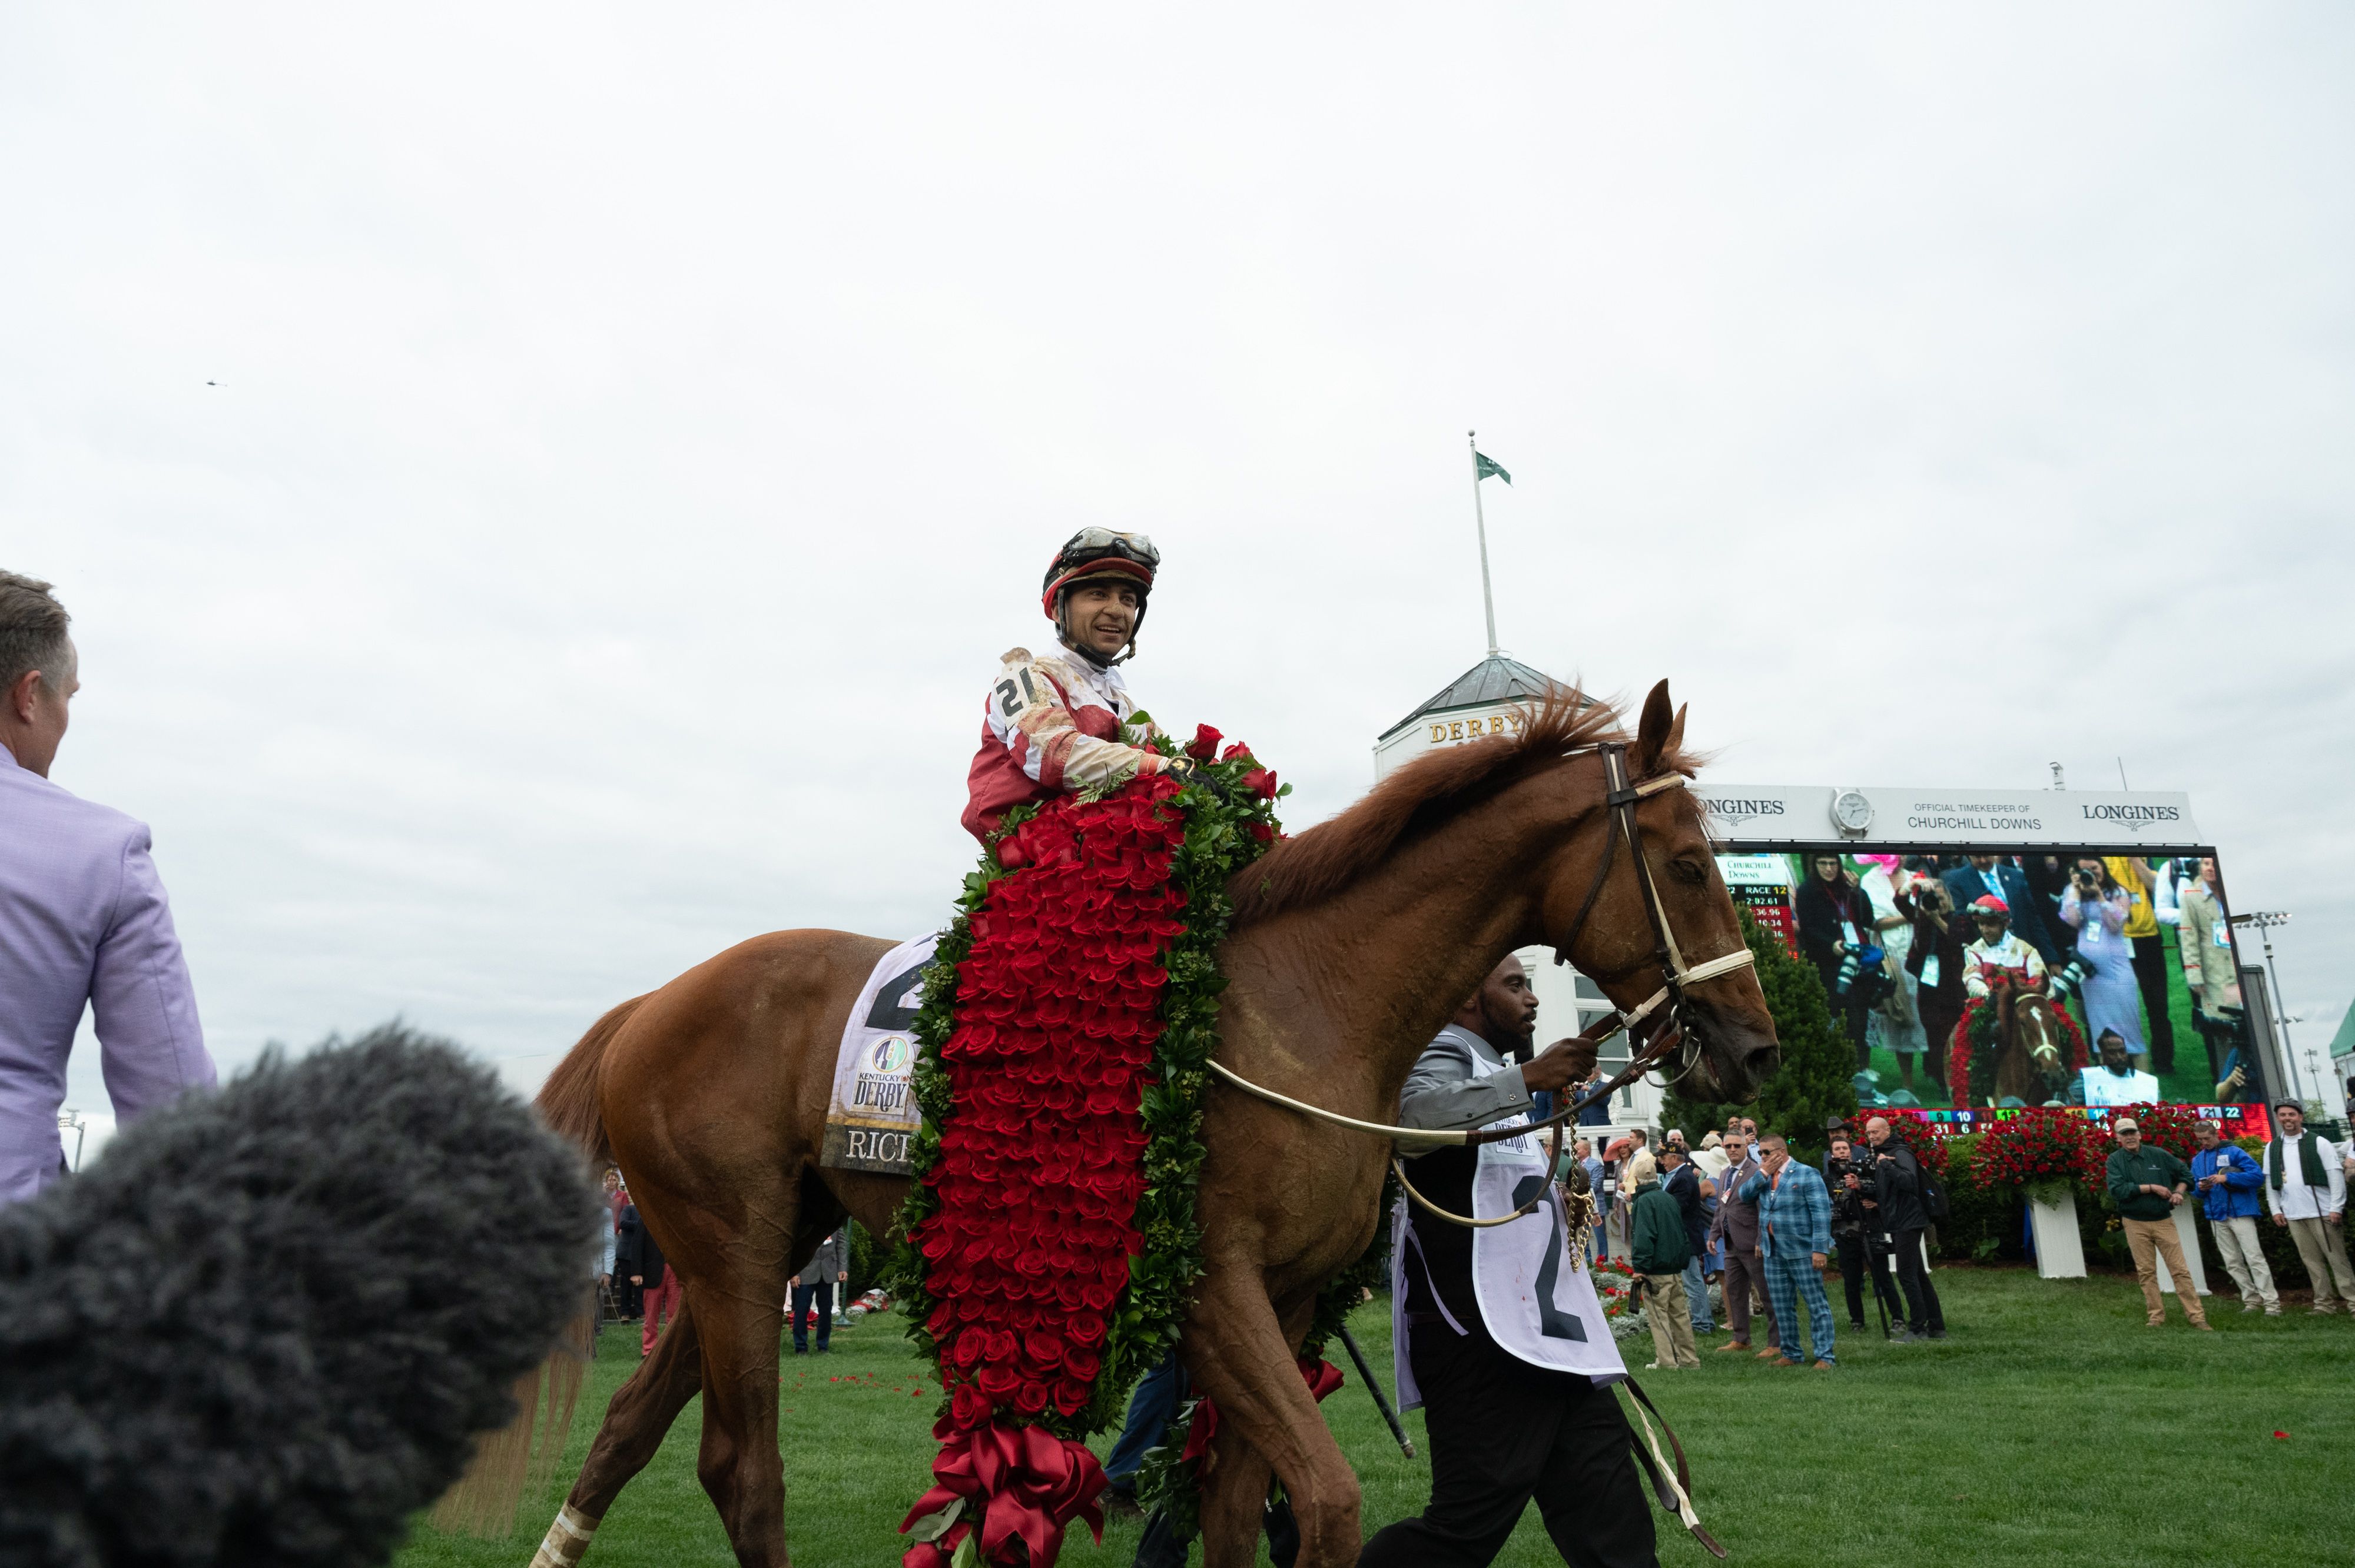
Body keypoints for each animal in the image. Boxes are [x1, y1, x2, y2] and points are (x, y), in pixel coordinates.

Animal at [469, 683, 1771, 1563]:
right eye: (1691, 862)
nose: (1755, 1045)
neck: (1301, 1002)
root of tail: (653, 1002)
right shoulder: (1211, 1284)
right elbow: (1330, 1501)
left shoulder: (1287, 1296)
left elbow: (1243, 1515)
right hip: (732, 1249)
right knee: (741, 1468)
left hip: (752, 1243)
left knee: (627, 1430)